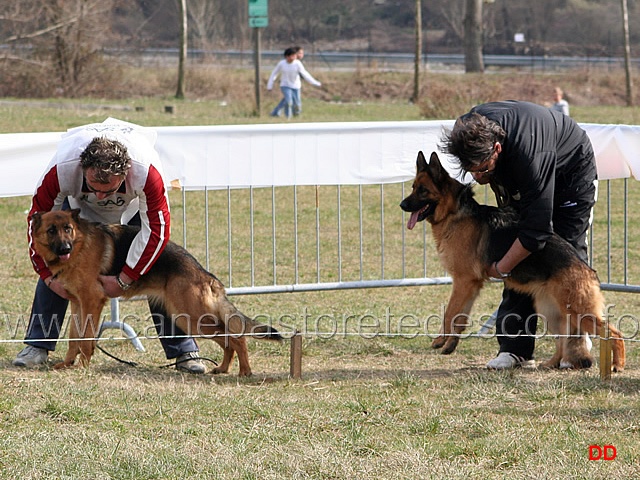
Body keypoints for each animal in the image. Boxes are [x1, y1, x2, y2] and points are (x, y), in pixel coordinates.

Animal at [29, 210, 280, 376]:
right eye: (51, 230)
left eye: (68, 229)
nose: (65, 248)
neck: (80, 245)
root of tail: (205, 274)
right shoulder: (77, 304)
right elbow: (74, 337)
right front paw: (68, 364)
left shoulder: (92, 302)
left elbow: (85, 339)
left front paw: (82, 366)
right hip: (188, 319)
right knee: (228, 339)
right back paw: (223, 368)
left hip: (191, 318)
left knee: (236, 337)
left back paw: (244, 371)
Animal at [400, 152, 624, 374]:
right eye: (413, 187)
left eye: (423, 190)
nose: (402, 205)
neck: (454, 212)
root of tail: (586, 268)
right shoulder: (469, 285)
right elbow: (460, 316)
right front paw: (450, 345)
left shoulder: (463, 281)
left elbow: (449, 314)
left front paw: (439, 340)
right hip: (550, 310)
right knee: (563, 339)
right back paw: (551, 363)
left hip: (578, 311)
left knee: (613, 332)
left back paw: (617, 364)